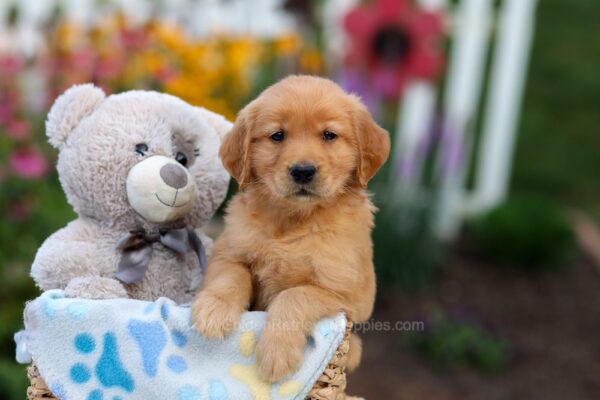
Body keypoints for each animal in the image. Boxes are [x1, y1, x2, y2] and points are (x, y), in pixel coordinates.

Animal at [191, 74, 390, 382]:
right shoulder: (228, 252)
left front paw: (277, 353)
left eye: (329, 135)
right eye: (277, 136)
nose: (303, 171)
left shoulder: (347, 296)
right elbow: (232, 276)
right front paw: (214, 310)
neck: (295, 221)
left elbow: (295, 294)